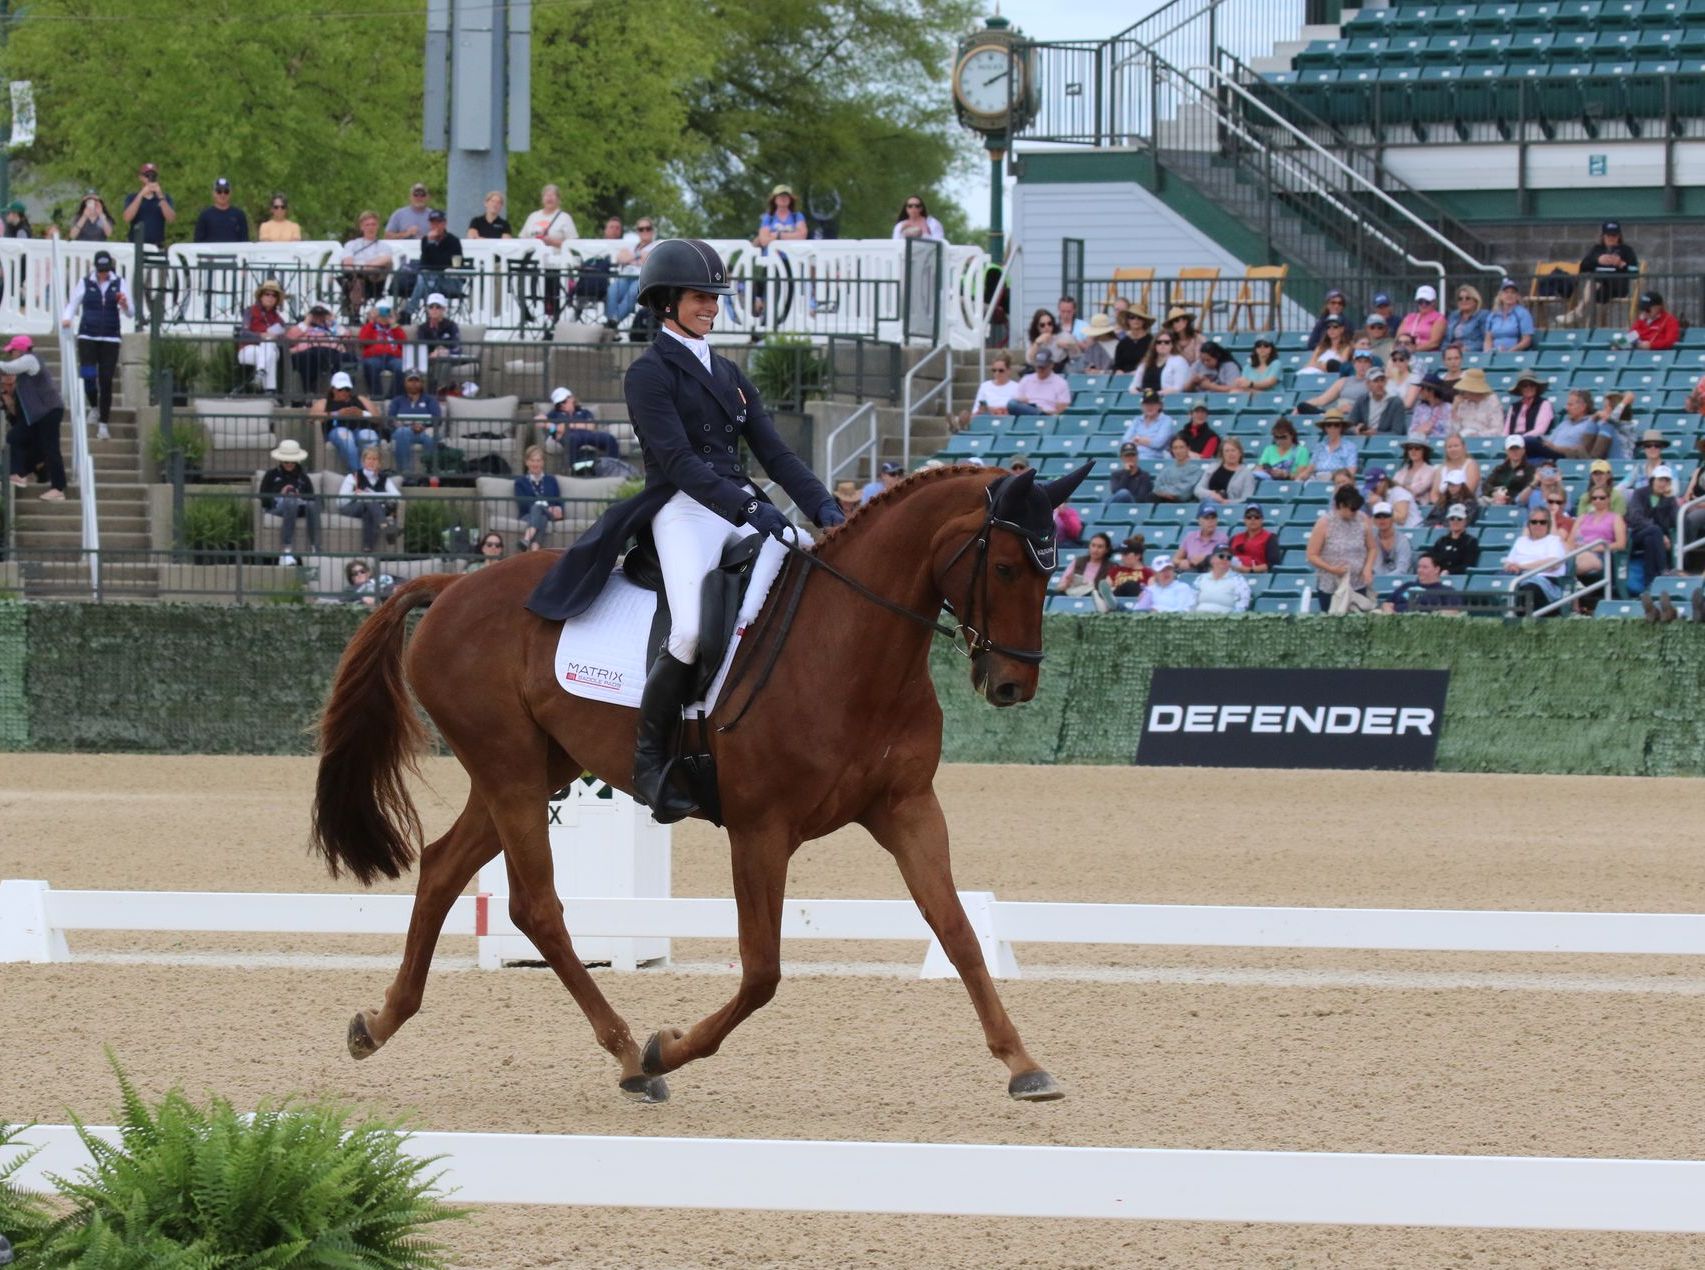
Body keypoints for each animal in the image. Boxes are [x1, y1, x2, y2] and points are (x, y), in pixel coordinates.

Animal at [313, 463, 1084, 1097]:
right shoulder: (760, 829)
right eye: (1007, 567)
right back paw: (631, 1056)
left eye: (1051, 572)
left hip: (534, 767)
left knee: (444, 867)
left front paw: (1023, 1064)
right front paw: (669, 1047)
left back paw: (377, 1025)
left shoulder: (907, 807)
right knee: (535, 906)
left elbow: (957, 930)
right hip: (510, 770)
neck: (851, 647)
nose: (1013, 685)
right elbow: (763, 970)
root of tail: (452, 584)